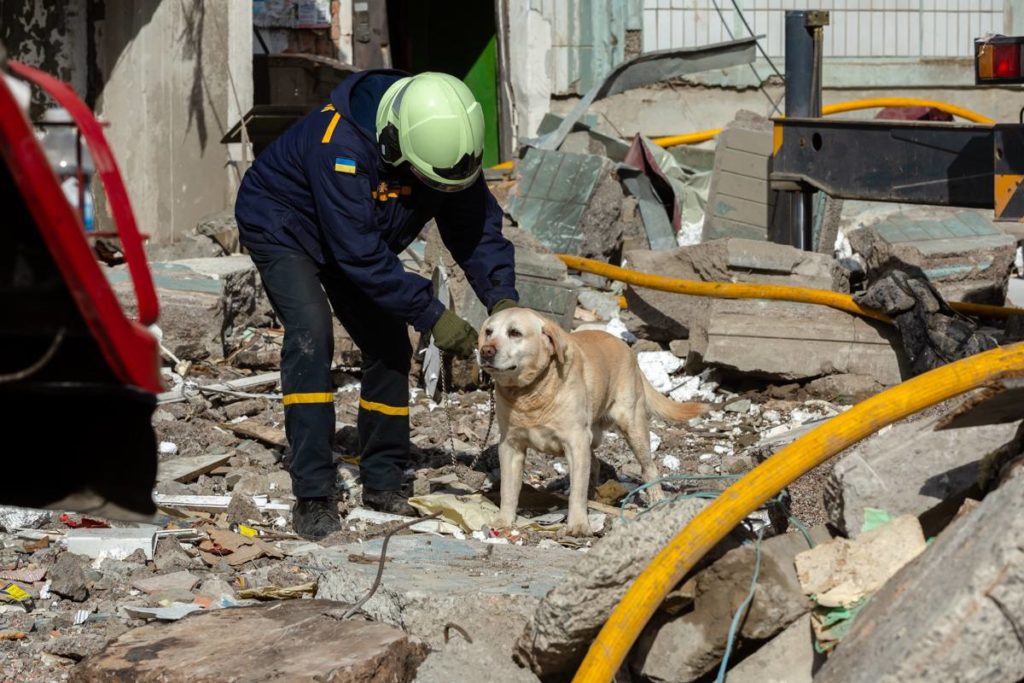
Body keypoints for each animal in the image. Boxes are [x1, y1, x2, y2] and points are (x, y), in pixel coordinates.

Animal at [477, 307, 704, 536]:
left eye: (515, 333)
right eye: (488, 332)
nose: (485, 351)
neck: (531, 392)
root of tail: (625, 347)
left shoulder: (575, 442)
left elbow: (576, 490)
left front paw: (578, 524)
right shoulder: (510, 446)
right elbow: (508, 489)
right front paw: (504, 520)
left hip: (633, 428)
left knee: (648, 467)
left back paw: (656, 499)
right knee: (594, 464)